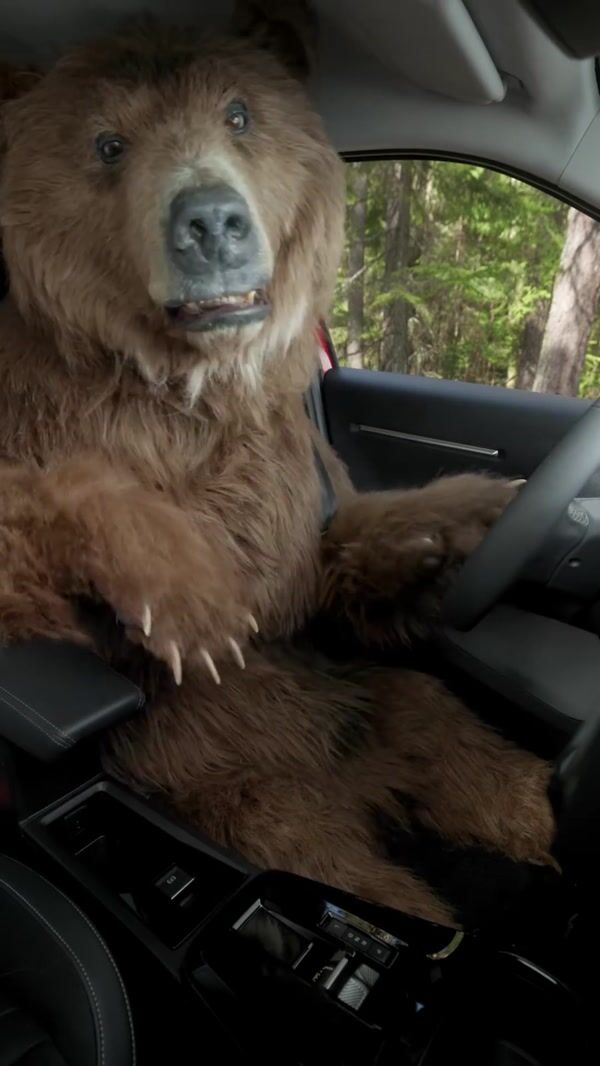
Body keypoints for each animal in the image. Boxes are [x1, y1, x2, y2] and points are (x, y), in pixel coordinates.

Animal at [0, 2, 555, 929]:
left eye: (239, 114)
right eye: (108, 143)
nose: (211, 221)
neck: (193, 385)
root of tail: (358, 788)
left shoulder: (291, 476)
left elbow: (327, 556)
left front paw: (474, 511)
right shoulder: (49, 420)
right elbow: (44, 538)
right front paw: (194, 599)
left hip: (356, 695)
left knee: (444, 728)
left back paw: (532, 807)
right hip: (230, 776)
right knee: (326, 854)